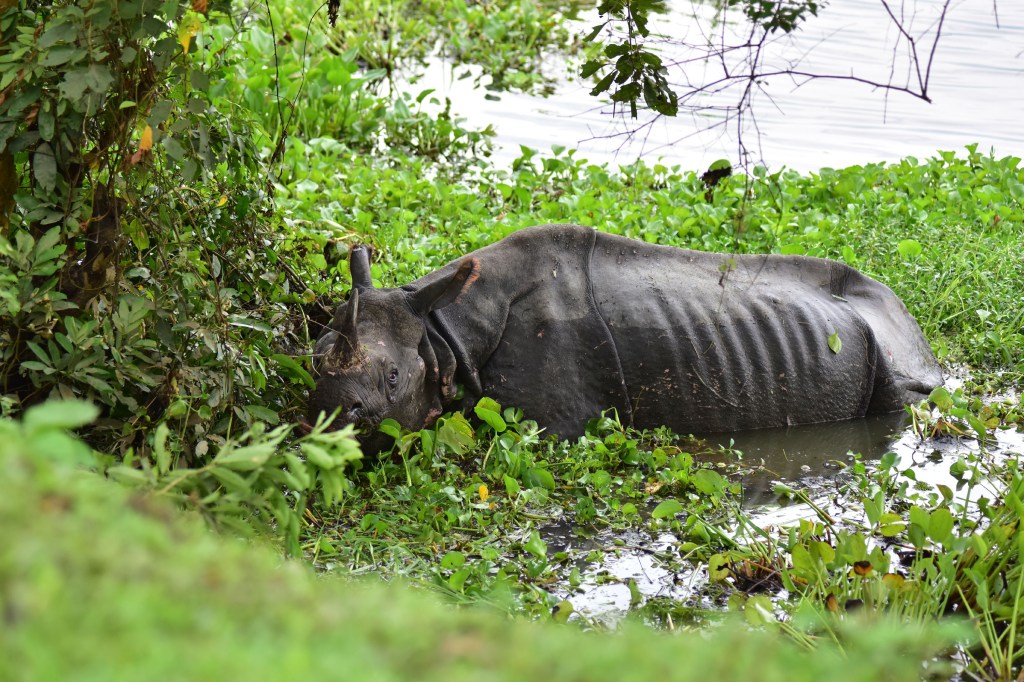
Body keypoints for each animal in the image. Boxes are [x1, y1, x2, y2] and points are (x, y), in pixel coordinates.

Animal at [308, 224, 942, 454]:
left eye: (394, 378)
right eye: (313, 360)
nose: (326, 421)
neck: (442, 332)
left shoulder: (551, 424)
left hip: (895, 365)